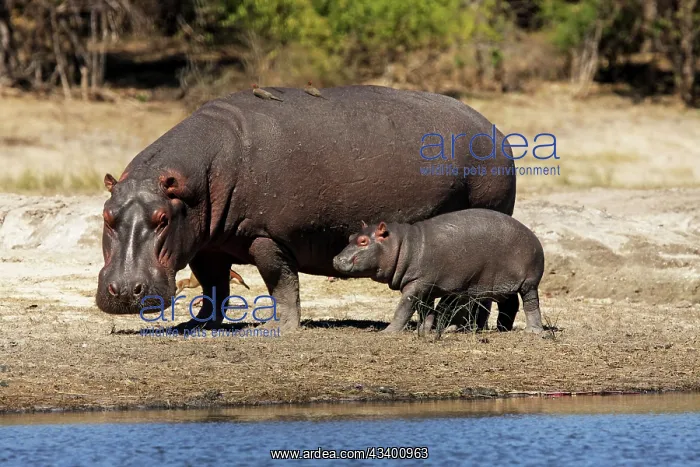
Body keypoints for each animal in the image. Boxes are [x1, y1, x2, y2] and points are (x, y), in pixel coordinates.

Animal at [95, 85, 516, 331]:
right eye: (106, 215)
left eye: (162, 218)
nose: (124, 291)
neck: (191, 184)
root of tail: (493, 128)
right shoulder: (205, 243)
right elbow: (214, 286)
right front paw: (198, 324)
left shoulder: (266, 236)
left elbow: (282, 283)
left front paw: (282, 328)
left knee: (481, 290)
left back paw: (466, 328)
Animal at [332, 210, 545, 334]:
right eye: (351, 236)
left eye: (363, 241)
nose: (335, 259)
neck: (402, 244)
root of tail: (533, 236)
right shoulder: (425, 287)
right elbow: (424, 310)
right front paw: (423, 331)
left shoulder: (416, 284)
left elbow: (404, 308)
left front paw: (387, 333)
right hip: (501, 285)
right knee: (510, 304)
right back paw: (501, 329)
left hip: (528, 283)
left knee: (530, 304)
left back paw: (533, 333)